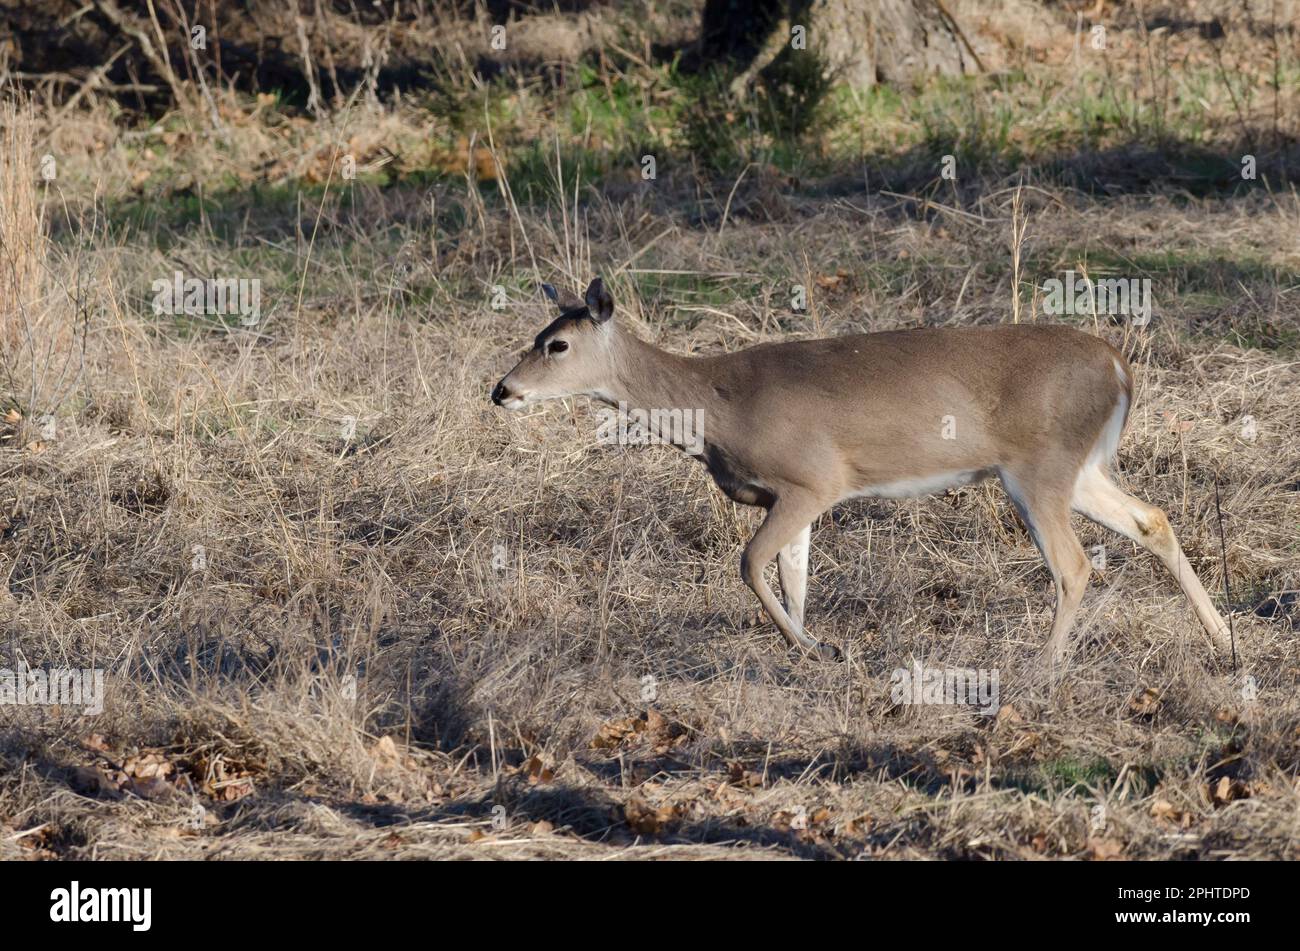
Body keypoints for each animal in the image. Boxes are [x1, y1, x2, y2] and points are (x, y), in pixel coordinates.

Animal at [491, 277, 1233, 666]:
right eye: (536, 336)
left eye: (556, 345)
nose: (501, 390)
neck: (715, 409)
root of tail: (1119, 366)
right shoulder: (785, 497)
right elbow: (794, 577)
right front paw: (809, 645)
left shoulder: (813, 480)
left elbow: (750, 563)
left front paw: (814, 647)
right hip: (1074, 469)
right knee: (1152, 519)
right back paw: (1223, 636)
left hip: (1039, 467)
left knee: (1076, 565)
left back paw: (1040, 667)